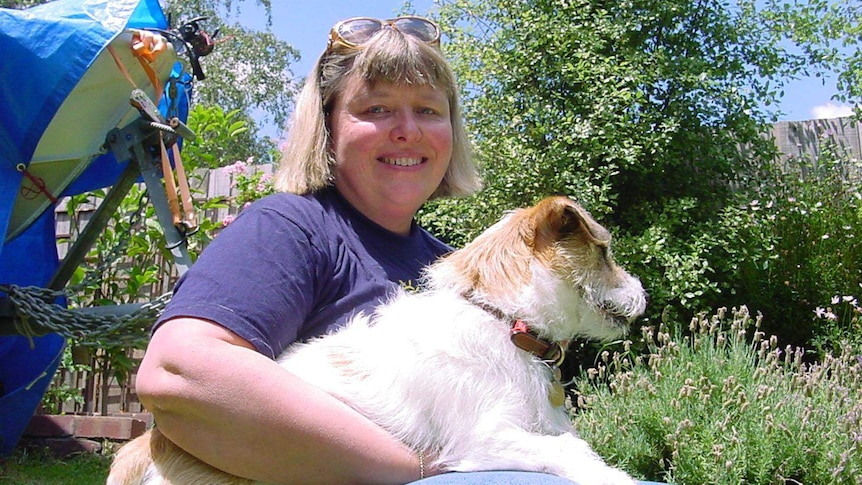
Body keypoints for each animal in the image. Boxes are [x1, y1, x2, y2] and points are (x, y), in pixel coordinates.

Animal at [108, 195, 648, 482]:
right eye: (604, 252)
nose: (644, 292)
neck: (504, 323)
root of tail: (144, 448)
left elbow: (572, 442)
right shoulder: (485, 439)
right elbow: (571, 453)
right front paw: (612, 475)